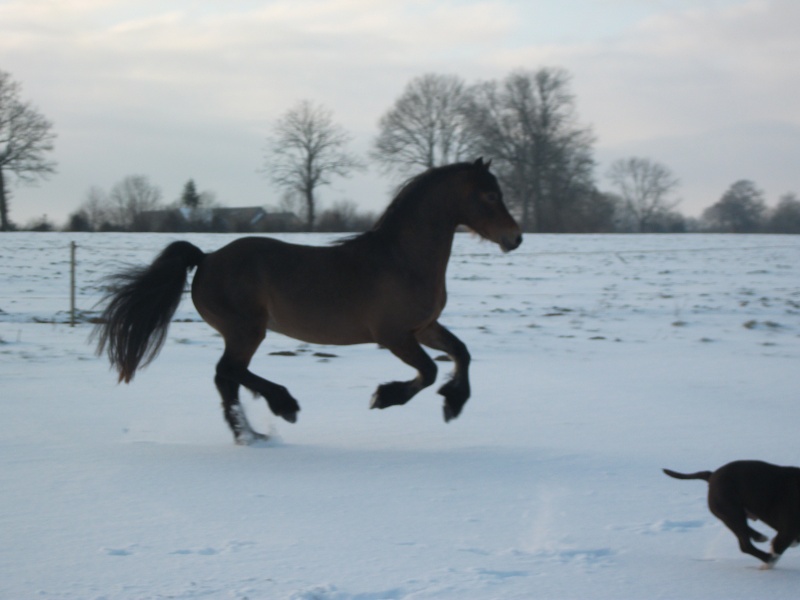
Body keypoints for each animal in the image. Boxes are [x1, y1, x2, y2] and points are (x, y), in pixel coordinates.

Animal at [95, 159, 520, 446]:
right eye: (490, 195)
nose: (515, 238)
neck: (402, 258)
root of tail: (206, 258)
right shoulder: (394, 335)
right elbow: (429, 371)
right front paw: (384, 397)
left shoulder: (424, 326)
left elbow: (461, 352)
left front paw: (453, 402)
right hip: (246, 330)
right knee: (227, 371)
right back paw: (282, 406)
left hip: (242, 333)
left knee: (227, 378)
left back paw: (251, 435)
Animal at [664, 460, 800, 568]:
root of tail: (712, 475)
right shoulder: (787, 532)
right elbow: (777, 548)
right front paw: (767, 565)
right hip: (731, 512)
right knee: (745, 545)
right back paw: (767, 557)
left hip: (733, 515)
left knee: (745, 532)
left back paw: (759, 537)